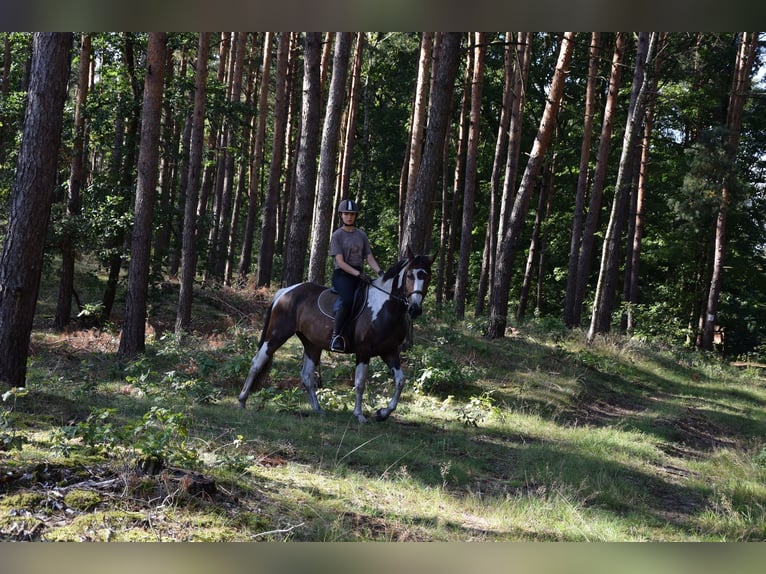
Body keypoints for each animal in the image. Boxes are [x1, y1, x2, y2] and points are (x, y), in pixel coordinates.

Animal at [237, 246, 435, 423]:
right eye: (409, 275)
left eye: (427, 277)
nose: (415, 308)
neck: (386, 307)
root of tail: (285, 292)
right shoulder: (364, 351)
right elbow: (360, 382)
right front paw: (359, 415)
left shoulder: (390, 351)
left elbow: (400, 380)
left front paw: (383, 413)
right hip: (277, 335)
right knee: (257, 362)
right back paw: (242, 400)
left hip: (312, 344)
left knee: (307, 375)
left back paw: (318, 409)